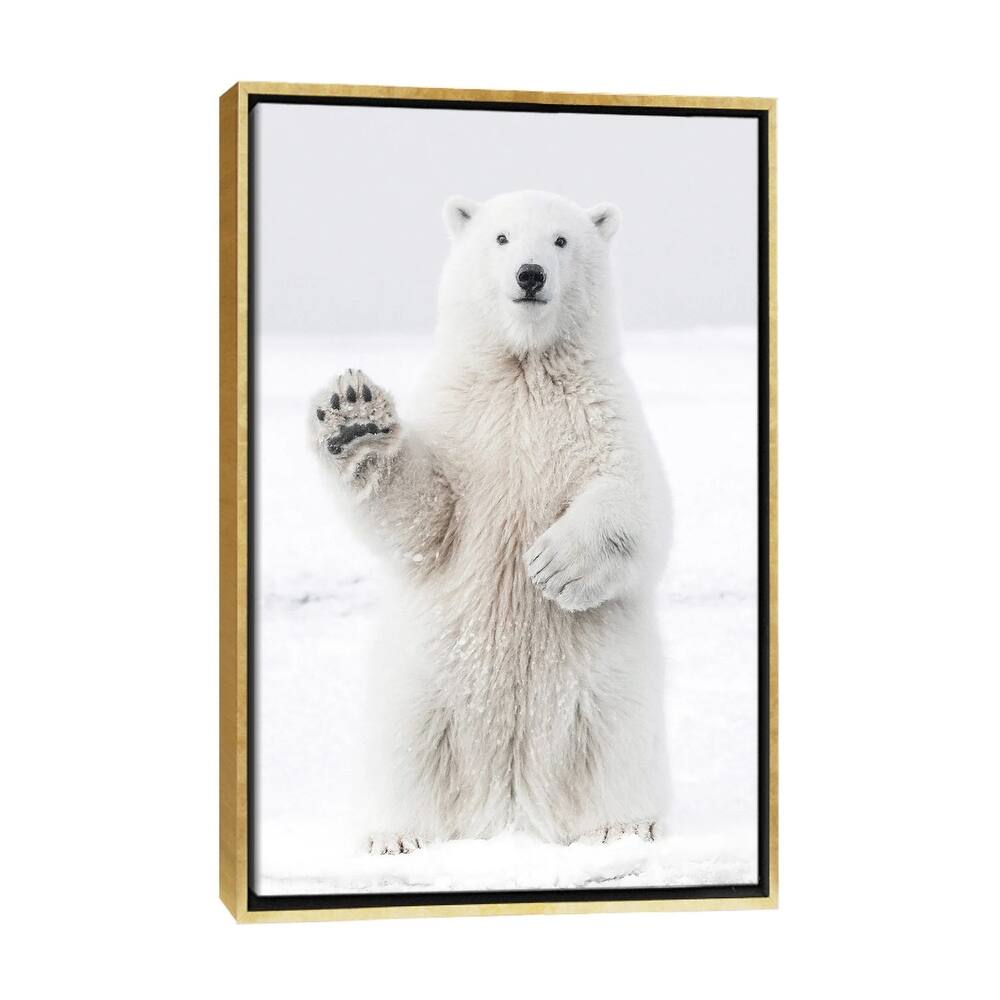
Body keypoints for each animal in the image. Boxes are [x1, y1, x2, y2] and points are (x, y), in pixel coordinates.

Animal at [311, 190, 671, 854]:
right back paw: (397, 835)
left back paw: (621, 826)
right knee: (406, 746)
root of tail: (509, 801)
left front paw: (552, 564)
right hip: (423, 681)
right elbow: (426, 518)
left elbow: (636, 499)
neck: (523, 368)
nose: (530, 275)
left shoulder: (601, 411)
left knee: (616, 741)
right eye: (501, 238)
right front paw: (355, 417)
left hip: (604, 683)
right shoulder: (462, 419)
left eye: (560, 240)